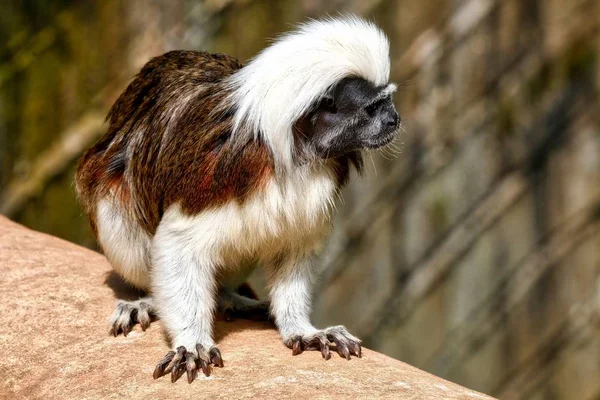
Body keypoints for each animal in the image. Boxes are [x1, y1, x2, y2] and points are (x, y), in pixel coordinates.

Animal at [77, 16, 400, 384]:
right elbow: (177, 244)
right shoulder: (214, 177)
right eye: (373, 108)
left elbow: (294, 248)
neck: (299, 151)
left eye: (389, 102)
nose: (395, 120)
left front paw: (302, 329)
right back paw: (149, 301)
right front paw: (191, 342)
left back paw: (230, 298)